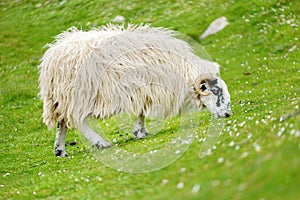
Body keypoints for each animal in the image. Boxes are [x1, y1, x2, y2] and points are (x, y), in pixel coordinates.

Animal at [38, 24, 231, 157]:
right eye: (216, 91)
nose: (228, 114)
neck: (183, 71)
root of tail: (51, 57)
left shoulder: (143, 91)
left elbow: (141, 112)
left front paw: (141, 131)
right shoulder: (146, 89)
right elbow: (141, 112)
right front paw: (139, 132)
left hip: (63, 98)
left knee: (62, 121)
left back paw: (60, 150)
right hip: (78, 95)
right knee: (78, 120)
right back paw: (101, 143)